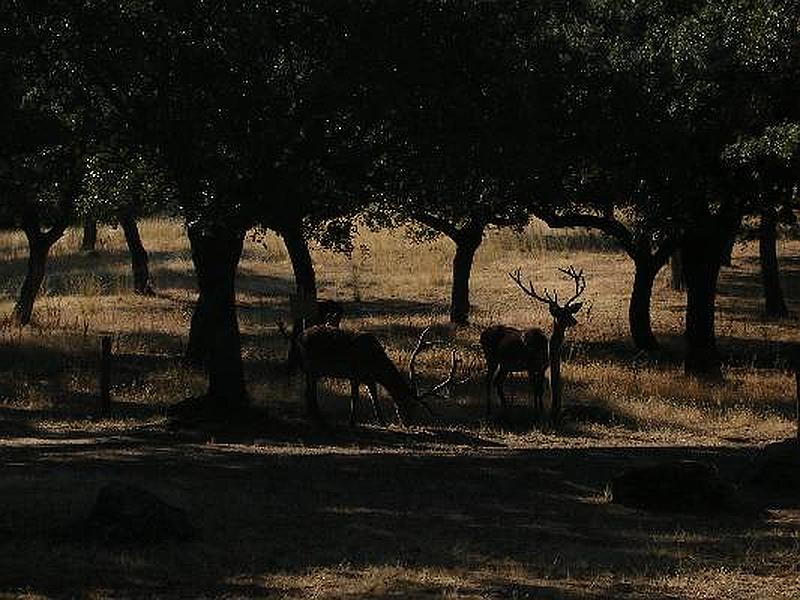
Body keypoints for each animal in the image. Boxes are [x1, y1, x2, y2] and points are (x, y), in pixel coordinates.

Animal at [278, 324, 460, 426]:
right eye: (410, 405)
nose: (409, 423)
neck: (375, 365)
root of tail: (298, 337)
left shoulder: (369, 378)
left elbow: (374, 397)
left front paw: (381, 421)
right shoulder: (354, 374)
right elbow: (355, 397)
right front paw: (352, 421)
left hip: (312, 370)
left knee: (308, 390)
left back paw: (313, 414)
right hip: (311, 367)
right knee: (310, 391)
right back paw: (317, 416)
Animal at [482, 264, 588, 420]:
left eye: (570, 312)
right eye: (560, 314)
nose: (574, 321)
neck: (546, 349)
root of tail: (482, 334)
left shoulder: (543, 367)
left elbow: (541, 389)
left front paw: (542, 411)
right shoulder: (530, 365)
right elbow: (534, 388)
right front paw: (536, 413)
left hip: (505, 365)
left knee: (498, 382)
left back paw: (506, 410)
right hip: (491, 358)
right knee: (488, 380)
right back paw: (489, 411)